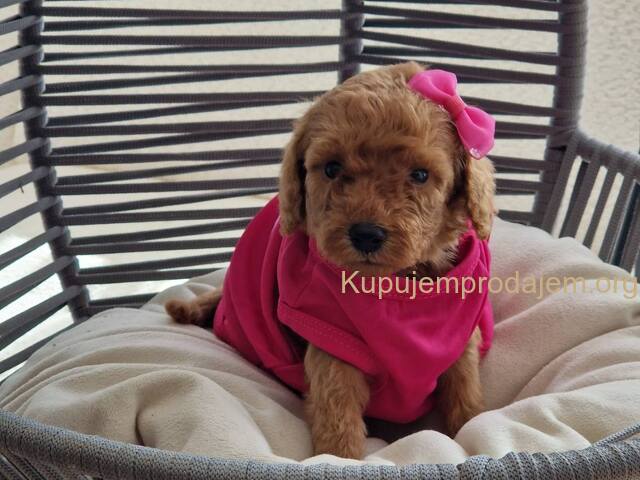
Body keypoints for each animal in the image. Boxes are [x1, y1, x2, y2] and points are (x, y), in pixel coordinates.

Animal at [166, 62, 496, 459]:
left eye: (420, 175)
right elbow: (337, 409)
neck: (396, 285)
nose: (366, 234)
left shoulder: (461, 338)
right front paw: (341, 457)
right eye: (332, 168)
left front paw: (472, 422)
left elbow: (464, 388)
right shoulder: (330, 339)